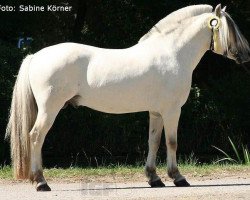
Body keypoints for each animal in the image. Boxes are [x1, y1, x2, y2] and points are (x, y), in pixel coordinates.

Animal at [5, 3, 250, 191]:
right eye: (231, 29)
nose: (246, 56)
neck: (172, 54)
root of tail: (36, 55)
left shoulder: (156, 112)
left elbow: (154, 142)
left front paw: (154, 178)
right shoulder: (172, 111)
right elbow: (172, 142)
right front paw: (178, 177)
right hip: (49, 109)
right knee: (36, 136)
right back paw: (41, 182)